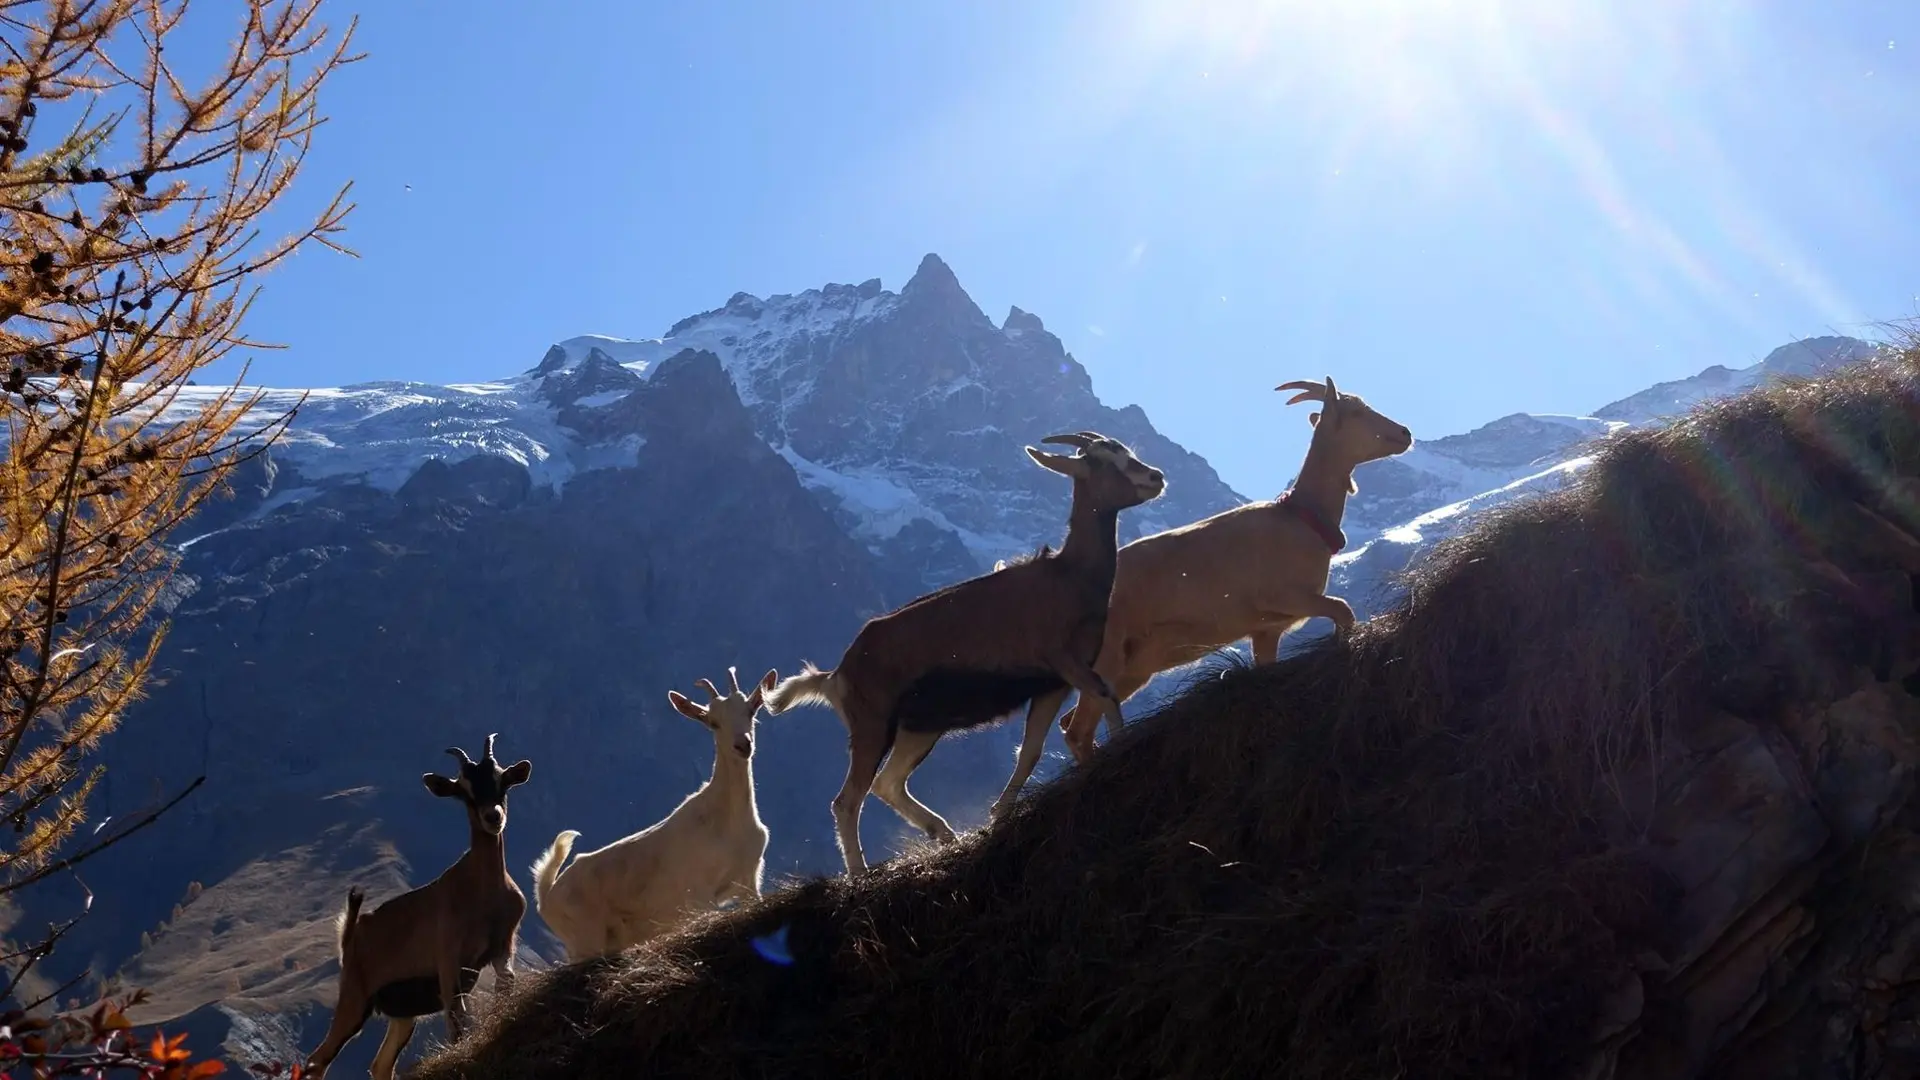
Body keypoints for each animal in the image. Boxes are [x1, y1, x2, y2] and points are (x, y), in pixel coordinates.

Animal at [305, 730, 533, 1076]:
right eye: (463, 792)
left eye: (502, 781)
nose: (493, 817)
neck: (484, 893)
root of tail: (352, 932)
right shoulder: (448, 960)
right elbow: (456, 1021)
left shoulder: (503, 946)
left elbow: (505, 987)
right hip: (354, 998)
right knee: (317, 1060)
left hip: (402, 1013)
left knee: (380, 1065)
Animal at [529, 664, 775, 957]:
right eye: (713, 722)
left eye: (750, 711)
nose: (743, 745)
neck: (729, 821)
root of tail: (548, 895)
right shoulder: (698, 893)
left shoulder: (749, 878)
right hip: (585, 940)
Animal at [768, 430, 1167, 876]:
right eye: (1100, 460)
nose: (1156, 477)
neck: (1069, 577)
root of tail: (837, 675)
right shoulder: (1065, 661)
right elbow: (1106, 695)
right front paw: (1122, 747)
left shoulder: (1051, 685)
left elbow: (1030, 752)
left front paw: (998, 814)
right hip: (873, 726)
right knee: (848, 800)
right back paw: (859, 873)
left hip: (919, 728)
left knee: (888, 783)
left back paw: (944, 833)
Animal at [1059, 374, 1420, 760]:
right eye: (1356, 411)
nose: (1404, 433)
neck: (1302, 520)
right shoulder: (1283, 597)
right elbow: (1343, 610)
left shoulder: (1266, 630)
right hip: (1109, 655)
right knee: (1077, 730)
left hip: (1135, 665)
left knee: (1071, 723)